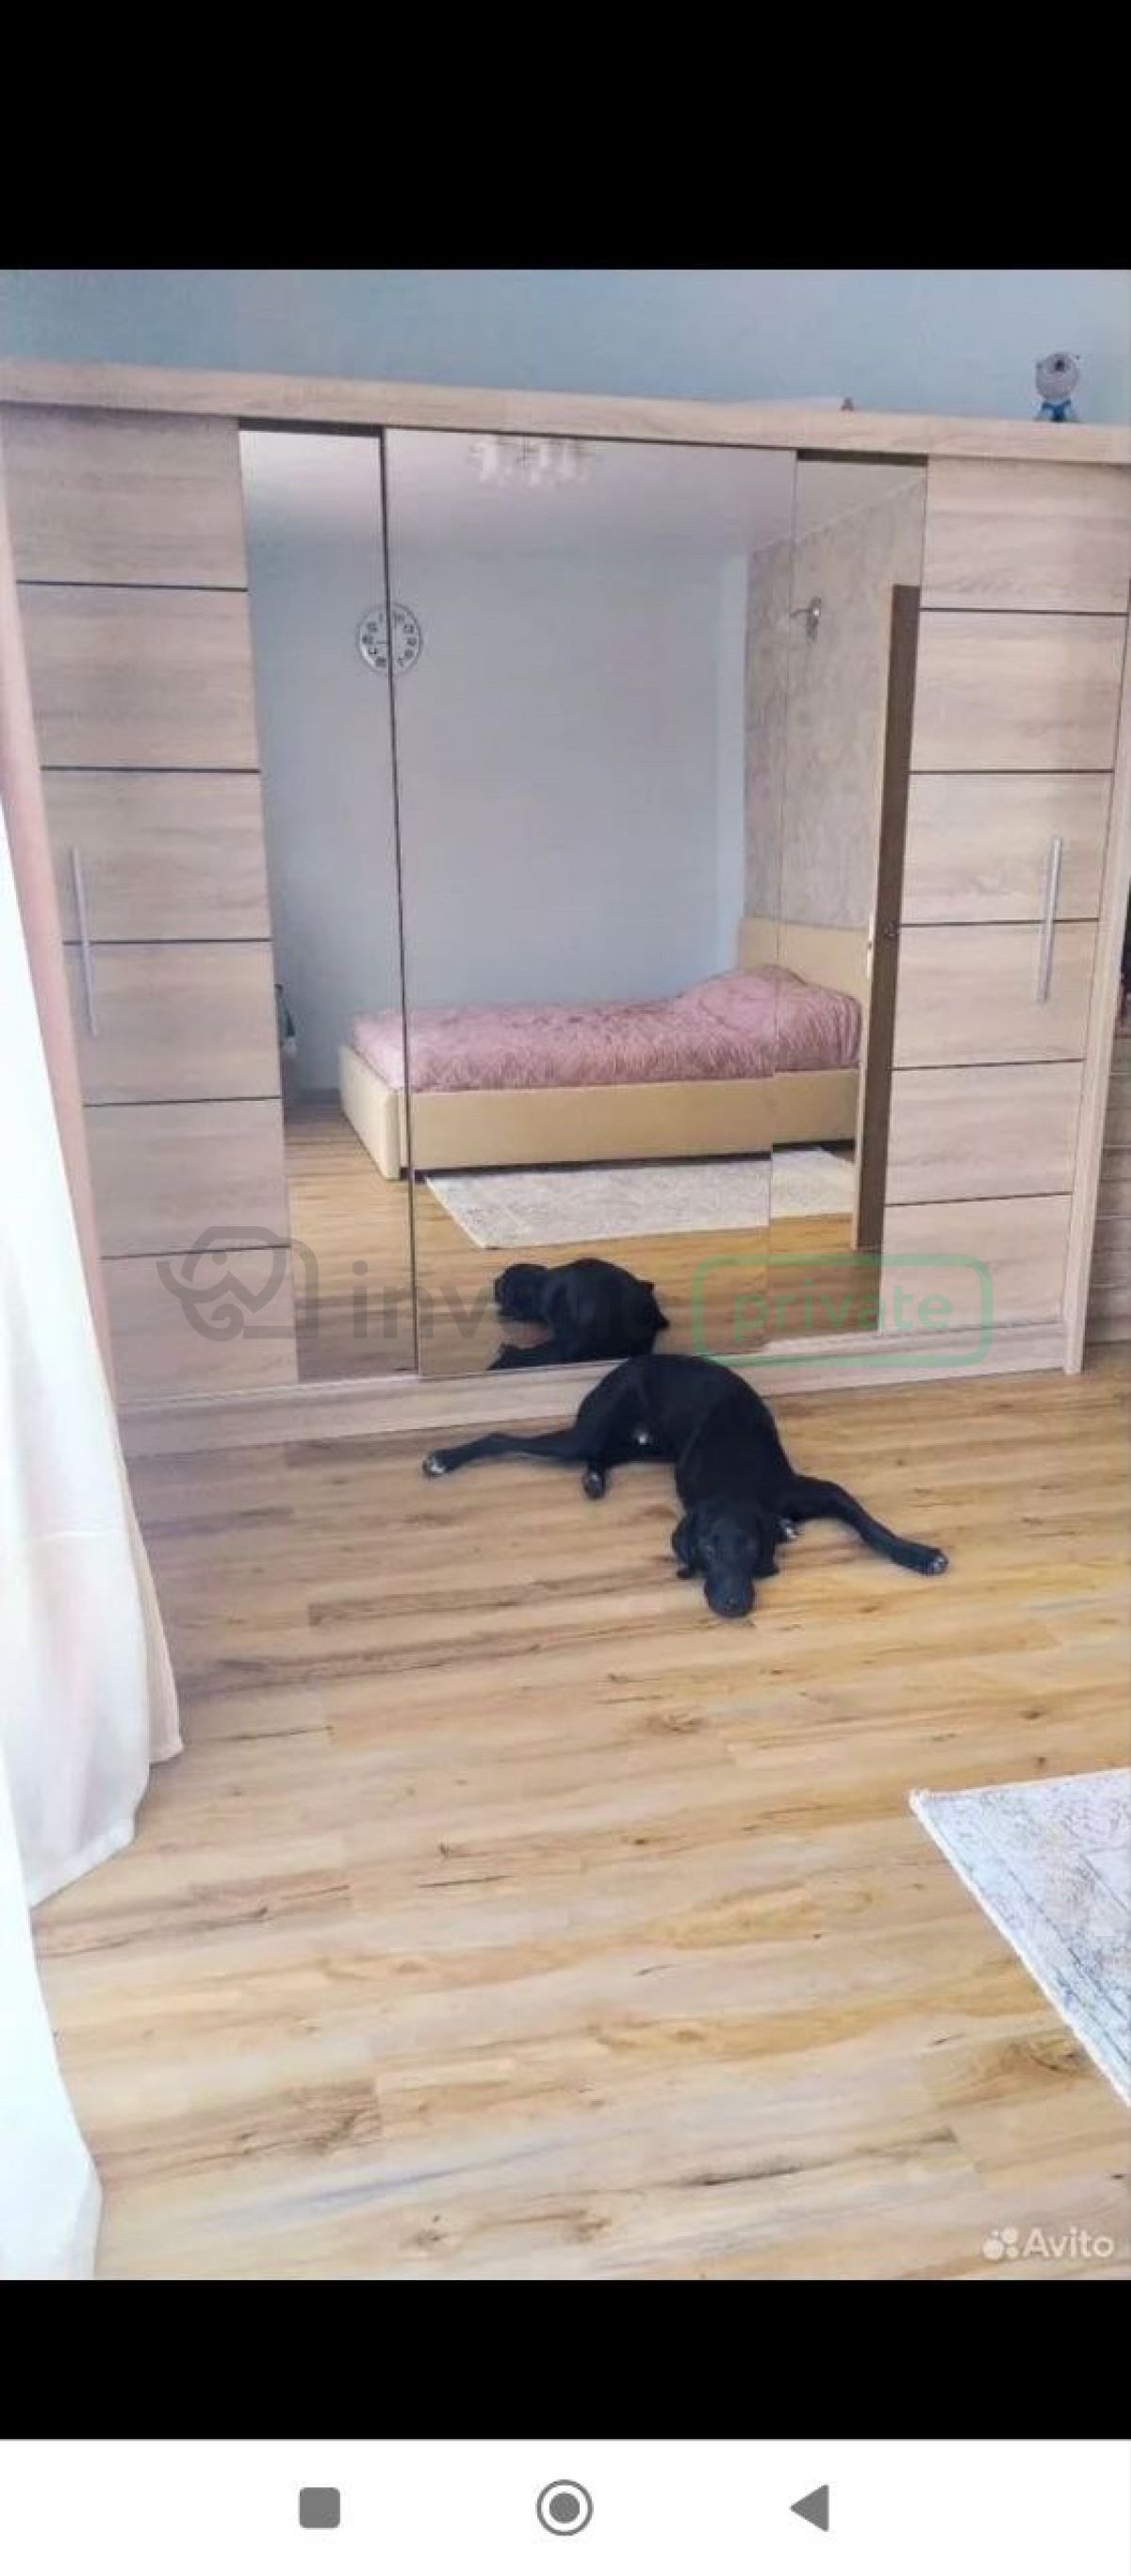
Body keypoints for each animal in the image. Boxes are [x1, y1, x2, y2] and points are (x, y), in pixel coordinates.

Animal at [423, 1351, 948, 1620]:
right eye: (709, 1550)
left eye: (749, 1545)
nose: (734, 1606)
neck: (736, 1481)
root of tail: (630, 1361)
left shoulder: (810, 1490)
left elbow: (868, 1524)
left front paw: (918, 1553)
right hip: (589, 1432)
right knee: (505, 1438)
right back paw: (442, 1459)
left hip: (647, 1446)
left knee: (603, 1456)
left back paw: (594, 1479)